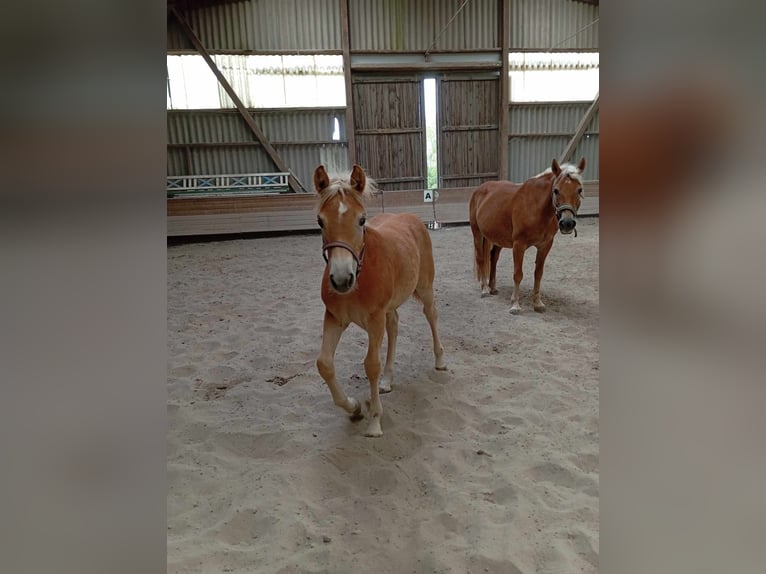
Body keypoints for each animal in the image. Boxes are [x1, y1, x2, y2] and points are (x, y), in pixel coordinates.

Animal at [312, 164, 448, 438]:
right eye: (320, 221)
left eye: (362, 219)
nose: (341, 279)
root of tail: (413, 219)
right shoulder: (334, 318)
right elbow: (324, 364)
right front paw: (354, 408)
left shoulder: (374, 320)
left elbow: (371, 365)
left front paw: (374, 421)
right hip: (390, 307)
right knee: (394, 327)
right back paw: (387, 380)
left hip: (425, 288)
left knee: (431, 315)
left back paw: (439, 360)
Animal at [468, 159, 588, 316]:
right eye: (556, 190)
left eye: (579, 190)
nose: (567, 223)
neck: (536, 207)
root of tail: (479, 189)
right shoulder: (519, 245)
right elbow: (518, 274)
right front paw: (515, 305)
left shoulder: (545, 246)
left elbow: (538, 274)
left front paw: (537, 303)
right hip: (477, 233)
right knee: (481, 258)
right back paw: (484, 289)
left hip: (497, 238)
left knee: (493, 258)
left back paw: (492, 287)